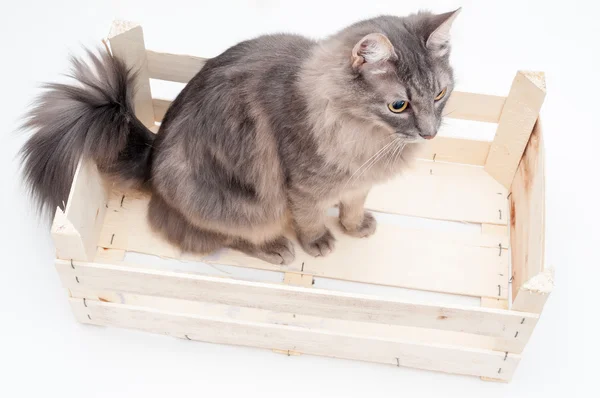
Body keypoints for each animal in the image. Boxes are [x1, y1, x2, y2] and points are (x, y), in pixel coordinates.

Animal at [18, 8, 460, 264]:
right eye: (399, 105)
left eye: (439, 94)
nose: (429, 133)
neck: (366, 135)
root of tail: (152, 157)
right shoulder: (302, 188)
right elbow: (310, 219)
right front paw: (318, 241)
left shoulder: (358, 183)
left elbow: (352, 206)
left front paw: (354, 226)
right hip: (244, 206)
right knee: (220, 237)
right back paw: (275, 247)